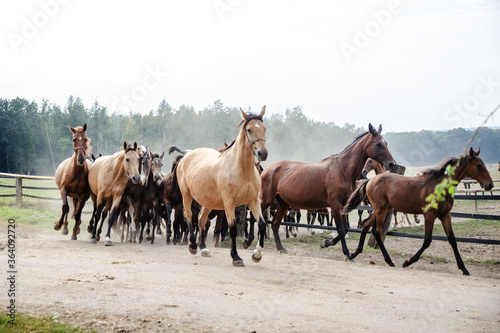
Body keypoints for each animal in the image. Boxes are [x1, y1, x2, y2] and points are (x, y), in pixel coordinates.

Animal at [176, 107, 270, 266]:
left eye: (264, 128)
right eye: (249, 129)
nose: (262, 153)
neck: (242, 170)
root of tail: (188, 154)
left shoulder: (253, 201)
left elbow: (262, 225)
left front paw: (256, 255)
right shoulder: (229, 203)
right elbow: (232, 229)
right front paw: (236, 257)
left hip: (208, 201)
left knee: (201, 219)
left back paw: (204, 249)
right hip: (186, 195)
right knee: (188, 215)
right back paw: (193, 245)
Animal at [254, 122, 394, 256]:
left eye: (386, 143)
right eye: (378, 144)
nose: (391, 163)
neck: (342, 169)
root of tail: (268, 169)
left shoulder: (342, 205)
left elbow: (345, 229)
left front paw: (326, 243)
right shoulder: (335, 205)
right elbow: (341, 230)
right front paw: (347, 253)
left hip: (283, 204)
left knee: (275, 224)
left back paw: (281, 248)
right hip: (266, 200)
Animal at [342, 148, 494, 274]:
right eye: (479, 165)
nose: (490, 185)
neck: (440, 187)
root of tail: (370, 180)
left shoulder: (445, 215)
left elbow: (452, 240)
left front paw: (464, 269)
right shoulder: (430, 215)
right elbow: (427, 240)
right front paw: (407, 261)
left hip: (382, 209)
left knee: (366, 224)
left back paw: (354, 254)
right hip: (381, 210)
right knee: (376, 231)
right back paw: (389, 261)